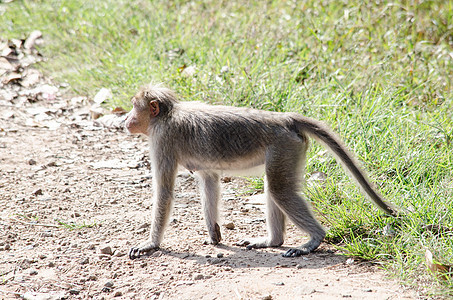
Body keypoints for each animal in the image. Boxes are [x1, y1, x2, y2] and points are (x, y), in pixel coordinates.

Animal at [122, 83, 396, 258]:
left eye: (135, 106)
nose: (125, 119)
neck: (166, 115)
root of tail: (285, 119)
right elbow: (210, 181)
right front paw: (214, 234)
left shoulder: (163, 140)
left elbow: (165, 192)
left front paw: (150, 244)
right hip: (287, 149)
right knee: (273, 186)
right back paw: (273, 241)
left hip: (283, 146)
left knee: (278, 189)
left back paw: (313, 241)